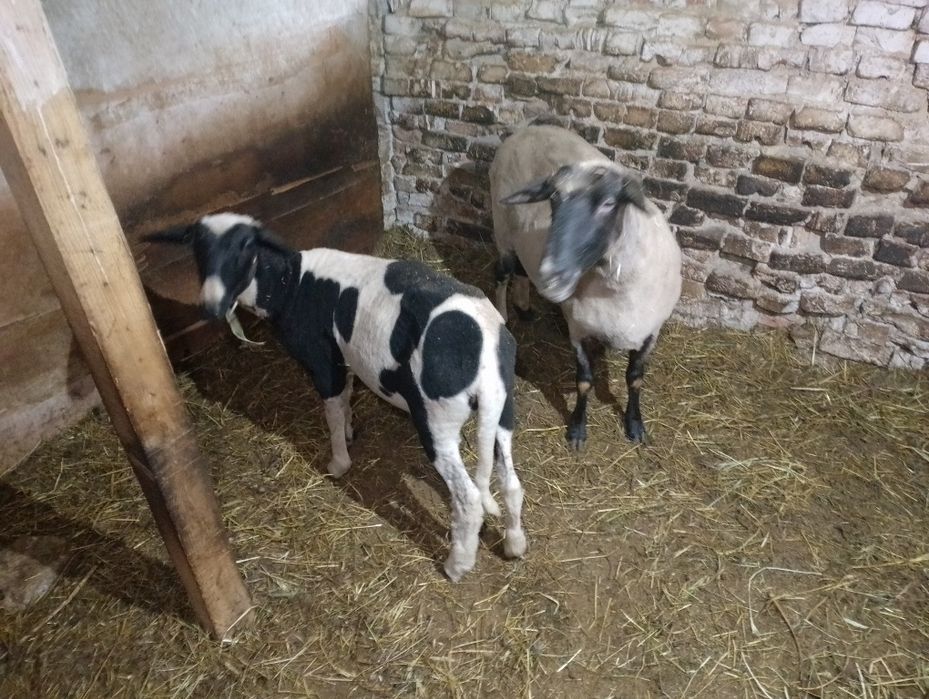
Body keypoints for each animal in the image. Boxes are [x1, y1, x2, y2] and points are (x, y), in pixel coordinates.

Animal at [145, 213, 526, 581]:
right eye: (198, 250)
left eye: (244, 249)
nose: (211, 306)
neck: (288, 283)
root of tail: (487, 357)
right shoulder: (343, 358)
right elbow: (345, 399)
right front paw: (349, 432)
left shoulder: (321, 359)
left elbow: (331, 408)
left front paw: (338, 462)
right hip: (503, 410)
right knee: (511, 482)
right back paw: (515, 544)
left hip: (437, 420)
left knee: (468, 499)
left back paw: (456, 565)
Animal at [489, 125, 682, 449]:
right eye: (554, 198)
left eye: (609, 204)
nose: (551, 275)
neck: (615, 287)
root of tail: (531, 127)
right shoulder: (577, 328)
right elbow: (584, 381)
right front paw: (577, 429)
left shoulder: (651, 332)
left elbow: (635, 378)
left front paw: (634, 424)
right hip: (502, 234)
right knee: (501, 276)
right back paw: (505, 314)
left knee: (522, 272)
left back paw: (525, 307)